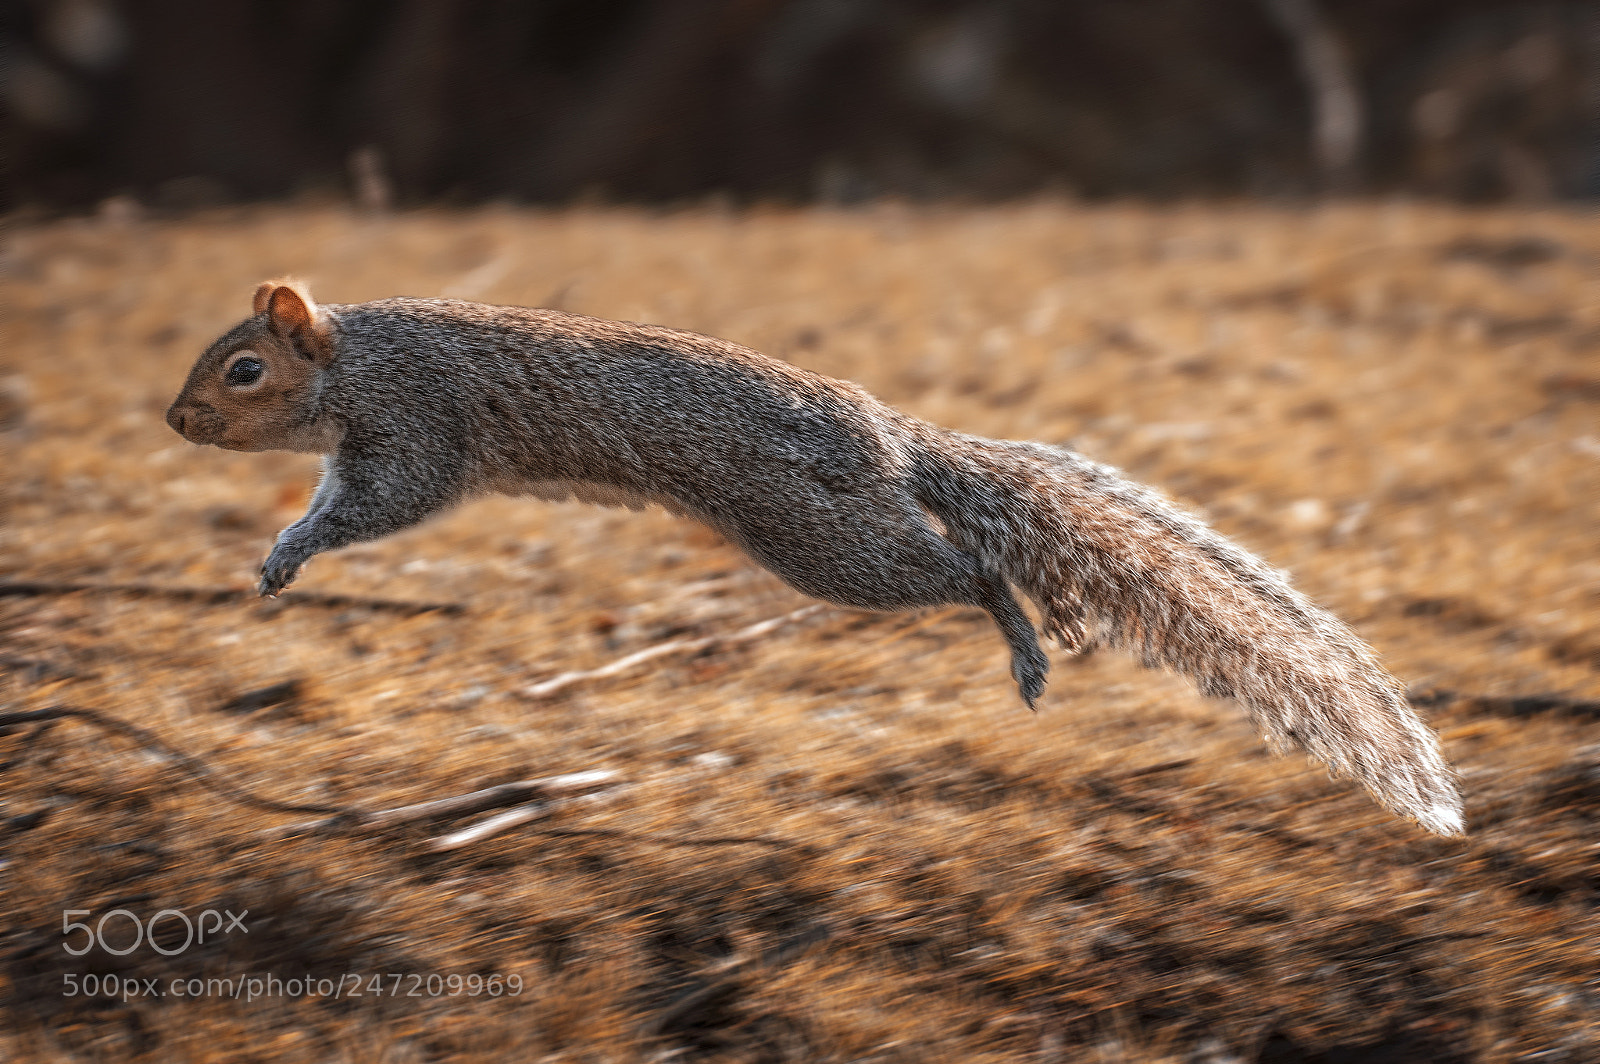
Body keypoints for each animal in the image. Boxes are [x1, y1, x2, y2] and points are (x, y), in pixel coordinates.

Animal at [166, 280, 1464, 836]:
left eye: (243, 368)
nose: (175, 421)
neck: (357, 356)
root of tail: (887, 432)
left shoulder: (419, 425)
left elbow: (377, 503)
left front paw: (290, 548)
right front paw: (278, 552)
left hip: (820, 537)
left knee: (970, 570)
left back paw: (1025, 636)